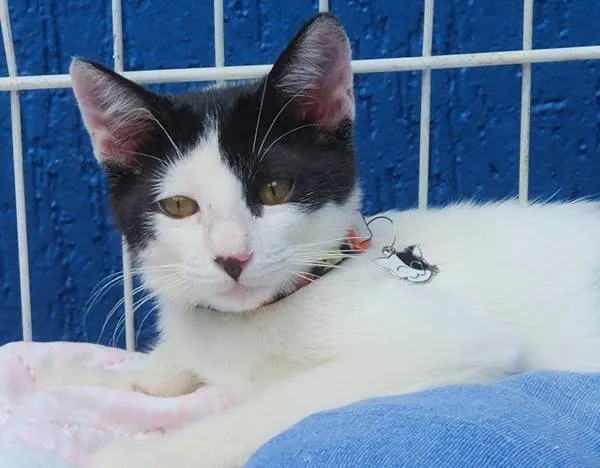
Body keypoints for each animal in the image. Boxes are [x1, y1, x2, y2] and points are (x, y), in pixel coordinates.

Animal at [37, 12, 600, 468]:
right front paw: (74, 374)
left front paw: (139, 454)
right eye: (179, 207)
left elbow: (280, 403)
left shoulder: (447, 342)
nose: (233, 258)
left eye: (275, 189)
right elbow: (162, 373)